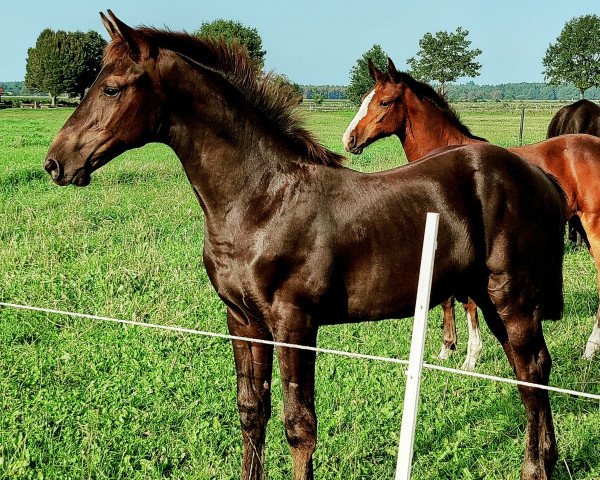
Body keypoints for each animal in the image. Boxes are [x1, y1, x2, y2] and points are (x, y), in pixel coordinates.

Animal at [45, 11, 568, 480]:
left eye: (112, 88)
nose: (56, 162)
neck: (260, 199)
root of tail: (539, 175)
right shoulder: (243, 320)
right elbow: (251, 412)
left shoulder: (294, 322)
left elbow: (299, 426)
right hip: (491, 298)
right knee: (530, 370)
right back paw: (549, 459)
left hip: (512, 299)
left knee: (532, 370)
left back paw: (534, 467)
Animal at [342, 57, 600, 364]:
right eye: (363, 98)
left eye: (384, 102)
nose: (349, 139)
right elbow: (447, 298)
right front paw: (446, 348)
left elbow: (468, 302)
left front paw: (471, 355)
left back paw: (590, 348)